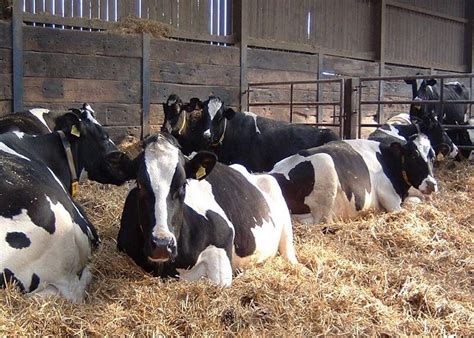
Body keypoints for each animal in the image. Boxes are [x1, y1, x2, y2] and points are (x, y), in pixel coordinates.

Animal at [270, 134, 436, 224]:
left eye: (432, 156)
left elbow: (416, 201)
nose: (432, 184)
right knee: (322, 220)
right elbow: (405, 210)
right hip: (325, 163)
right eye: (413, 156)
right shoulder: (389, 197)